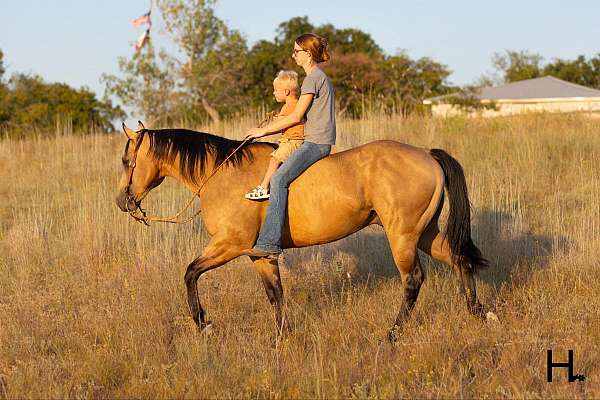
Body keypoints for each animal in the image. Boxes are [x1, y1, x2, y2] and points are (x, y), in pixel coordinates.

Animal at [115, 122, 494, 340]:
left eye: (125, 160)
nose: (122, 201)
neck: (224, 174)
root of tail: (427, 155)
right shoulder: (258, 255)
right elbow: (275, 294)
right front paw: (282, 338)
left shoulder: (229, 245)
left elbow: (190, 273)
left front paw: (203, 323)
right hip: (425, 233)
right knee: (459, 258)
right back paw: (479, 312)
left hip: (402, 236)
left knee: (413, 280)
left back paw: (392, 333)